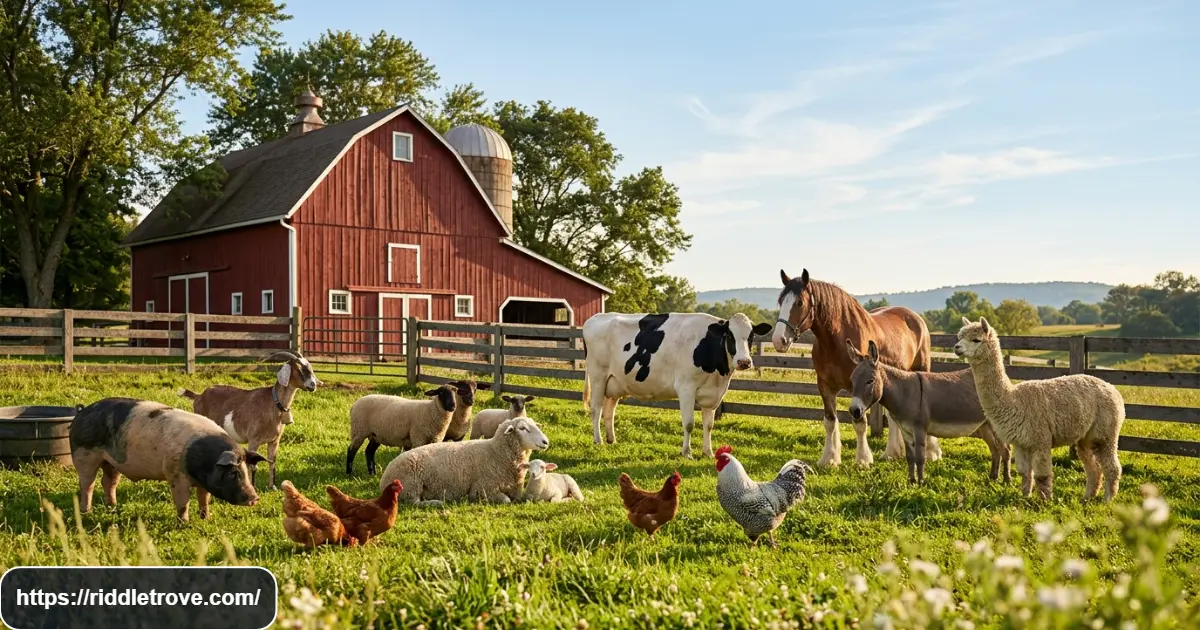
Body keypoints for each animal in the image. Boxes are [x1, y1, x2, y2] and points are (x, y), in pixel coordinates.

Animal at [179, 350, 321, 490]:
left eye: (310, 367)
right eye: (299, 369)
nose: (313, 385)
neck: (273, 403)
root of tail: (199, 396)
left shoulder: (275, 441)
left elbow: (272, 461)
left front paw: (273, 486)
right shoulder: (254, 440)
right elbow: (252, 466)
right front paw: (252, 487)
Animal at [378, 416, 550, 506]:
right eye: (522, 428)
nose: (545, 442)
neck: (495, 452)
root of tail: (385, 475)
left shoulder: (516, 489)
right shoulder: (482, 489)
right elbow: (506, 500)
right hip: (411, 486)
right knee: (414, 502)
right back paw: (436, 502)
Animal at [582, 312, 773, 459]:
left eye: (751, 336)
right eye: (730, 336)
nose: (744, 362)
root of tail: (596, 317)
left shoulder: (712, 394)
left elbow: (709, 425)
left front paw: (708, 452)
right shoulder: (686, 388)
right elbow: (689, 423)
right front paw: (687, 453)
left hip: (615, 383)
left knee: (609, 411)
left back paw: (612, 440)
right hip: (598, 377)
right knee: (596, 409)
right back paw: (598, 440)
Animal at [772, 268, 942, 468]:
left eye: (799, 302)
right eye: (781, 301)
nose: (779, 340)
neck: (837, 342)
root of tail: (916, 318)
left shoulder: (860, 387)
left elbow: (860, 423)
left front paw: (862, 459)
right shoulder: (825, 387)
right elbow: (830, 421)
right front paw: (829, 458)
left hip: (921, 369)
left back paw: (931, 453)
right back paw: (891, 453)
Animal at [954, 316, 1125, 501]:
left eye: (976, 340)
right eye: (959, 337)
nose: (956, 347)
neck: (1014, 400)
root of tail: (1113, 388)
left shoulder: (1040, 439)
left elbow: (1042, 476)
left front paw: (1045, 502)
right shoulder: (1021, 443)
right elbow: (1025, 473)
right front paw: (1024, 498)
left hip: (1106, 431)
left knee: (1112, 467)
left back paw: (1107, 499)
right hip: (1086, 436)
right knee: (1093, 467)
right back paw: (1086, 498)